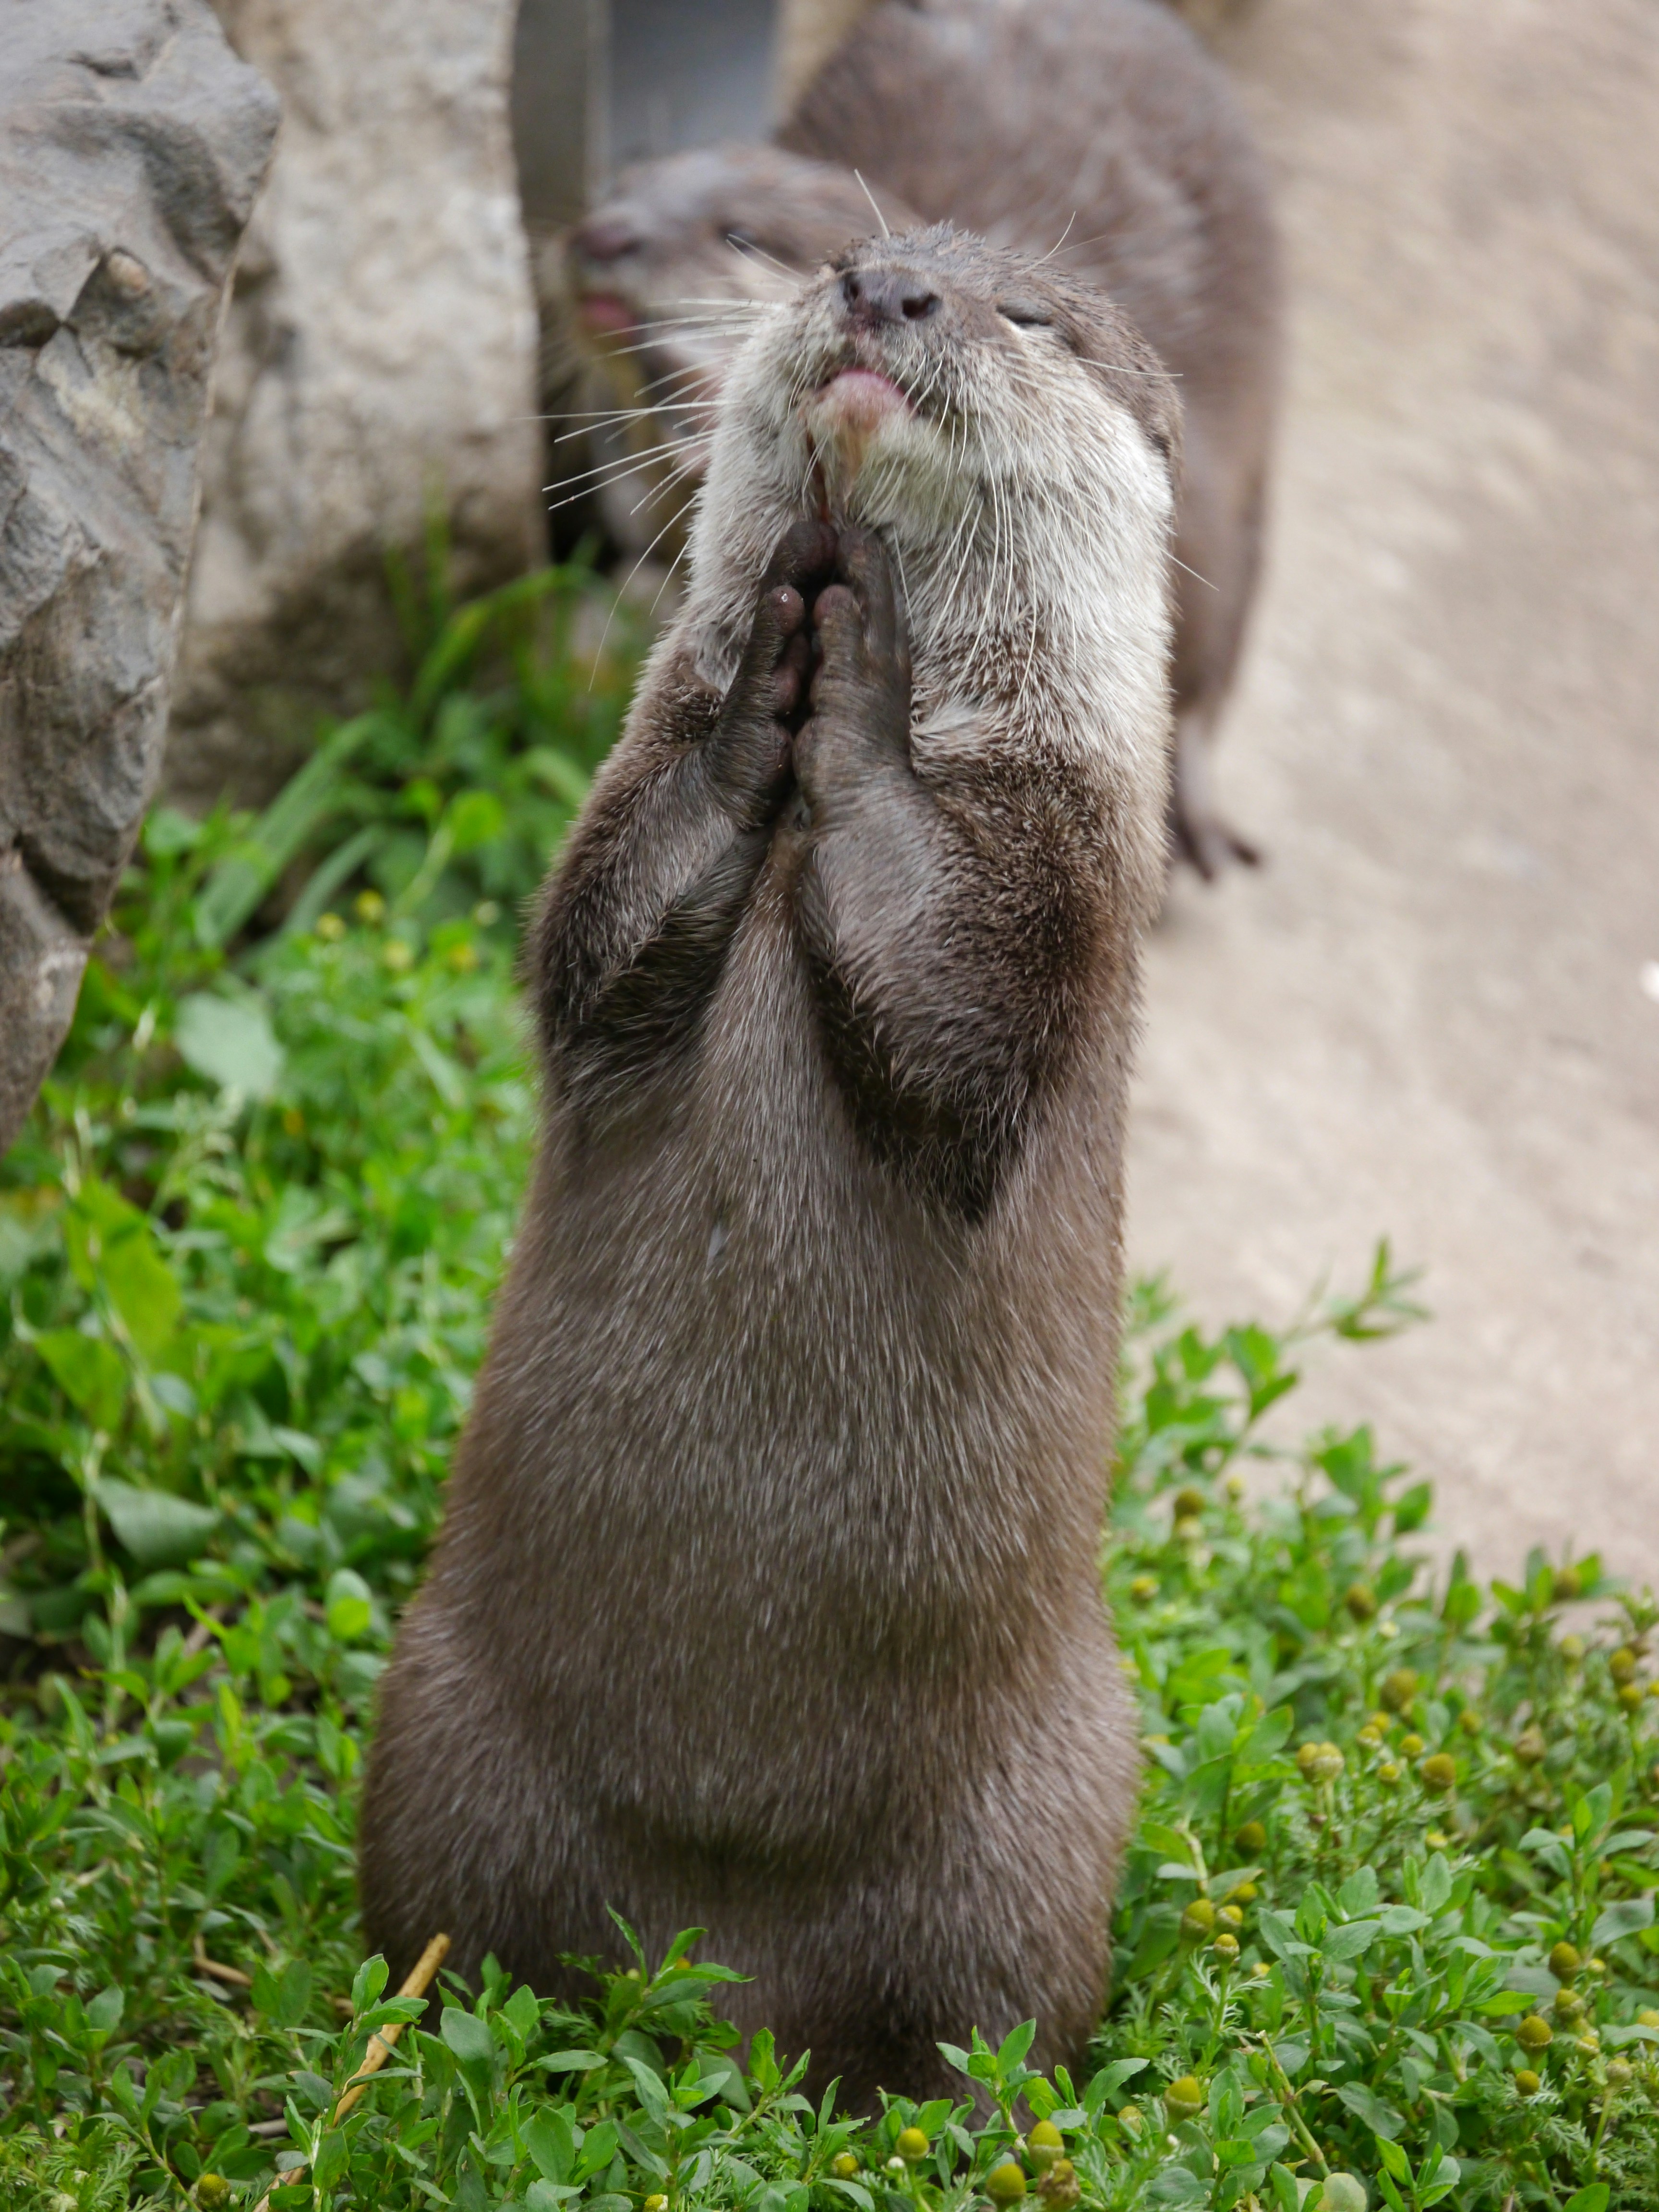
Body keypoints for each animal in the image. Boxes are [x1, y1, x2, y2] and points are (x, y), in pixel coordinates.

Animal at [360, 223, 1177, 2110]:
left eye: (1029, 313)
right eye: (840, 255)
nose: (889, 292)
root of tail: (717, 2002)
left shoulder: (1057, 906)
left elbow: (954, 1034)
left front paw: (854, 665)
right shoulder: (620, 806)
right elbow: (596, 933)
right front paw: (773, 674)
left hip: (1047, 1817)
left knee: (1001, 2033)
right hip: (433, 1715)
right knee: (443, 1932)